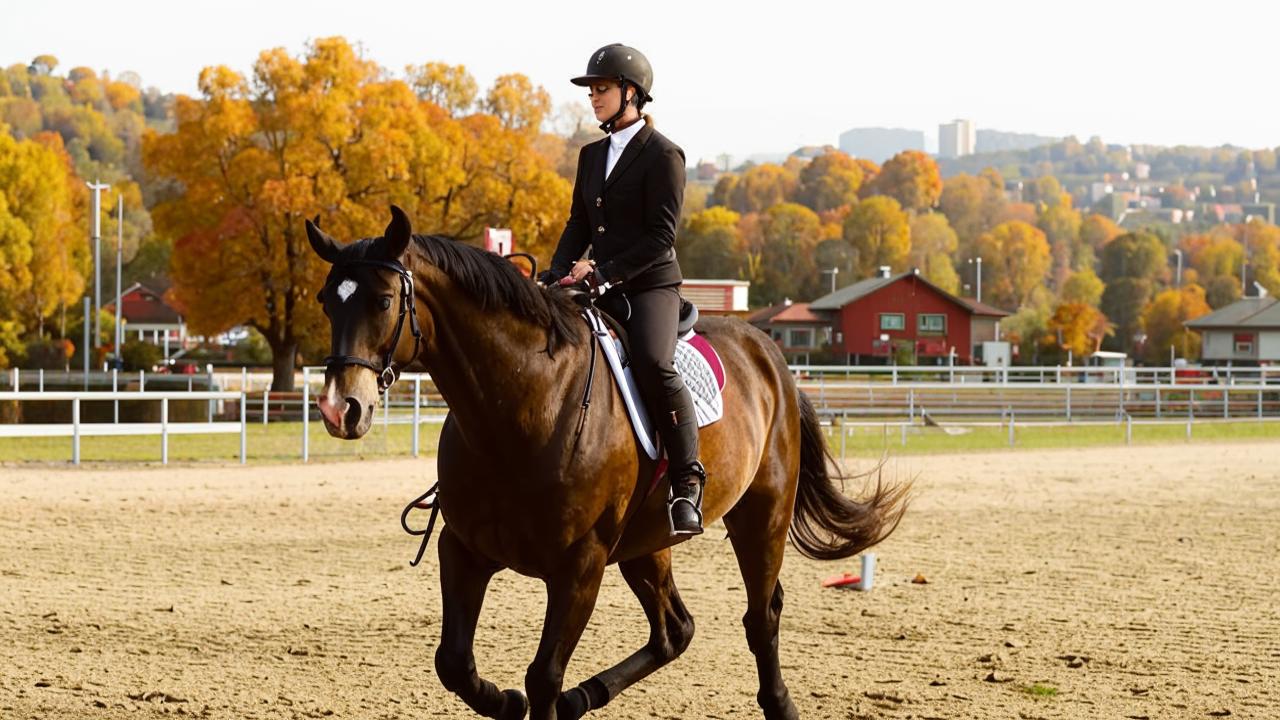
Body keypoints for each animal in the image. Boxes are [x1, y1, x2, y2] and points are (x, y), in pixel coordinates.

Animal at [307, 204, 911, 712]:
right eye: (327, 302)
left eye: (384, 301)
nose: (340, 408)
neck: (521, 407)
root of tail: (771, 356)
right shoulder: (464, 550)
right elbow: (454, 664)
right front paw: (507, 703)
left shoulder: (579, 567)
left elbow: (542, 676)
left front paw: (532, 697)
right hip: (648, 542)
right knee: (675, 629)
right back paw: (585, 697)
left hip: (760, 517)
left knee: (760, 616)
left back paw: (777, 703)